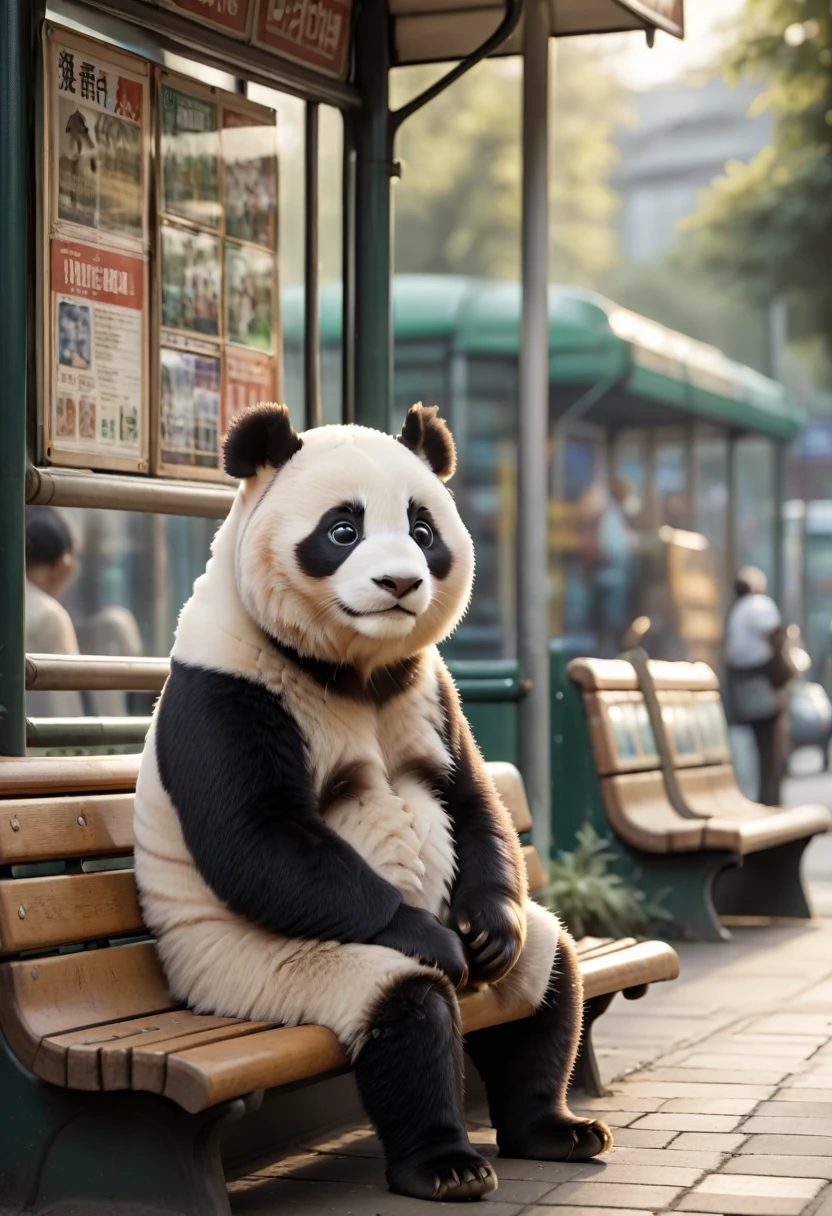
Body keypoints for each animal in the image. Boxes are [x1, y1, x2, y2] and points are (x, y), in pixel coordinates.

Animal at [131, 403, 610, 1201]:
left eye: (422, 528)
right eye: (341, 530)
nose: (399, 582)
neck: (355, 666)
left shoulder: (431, 689)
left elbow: (474, 802)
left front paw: (486, 929)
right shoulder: (228, 684)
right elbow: (262, 836)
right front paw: (438, 939)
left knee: (552, 976)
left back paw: (551, 1126)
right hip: (262, 964)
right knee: (401, 1007)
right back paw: (443, 1164)